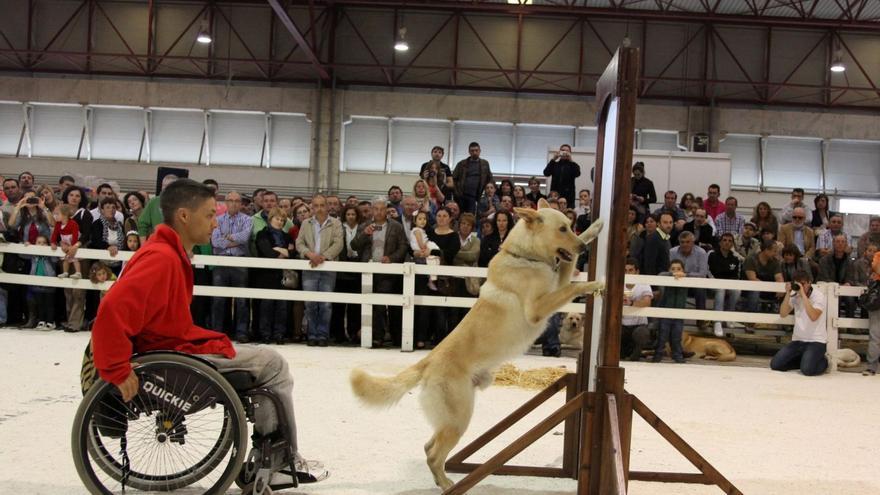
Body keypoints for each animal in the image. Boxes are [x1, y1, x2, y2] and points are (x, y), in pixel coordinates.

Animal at [350, 202, 604, 492]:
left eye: (571, 226)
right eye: (562, 229)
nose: (582, 250)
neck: (525, 257)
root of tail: (428, 362)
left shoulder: (555, 284)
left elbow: (567, 270)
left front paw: (595, 228)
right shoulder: (538, 308)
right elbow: (571, 285)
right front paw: (594, 283)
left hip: (451, 421)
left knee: (428, 447)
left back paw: (442, 481)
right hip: (459, 419)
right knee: (434, 454)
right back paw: (448, 485)